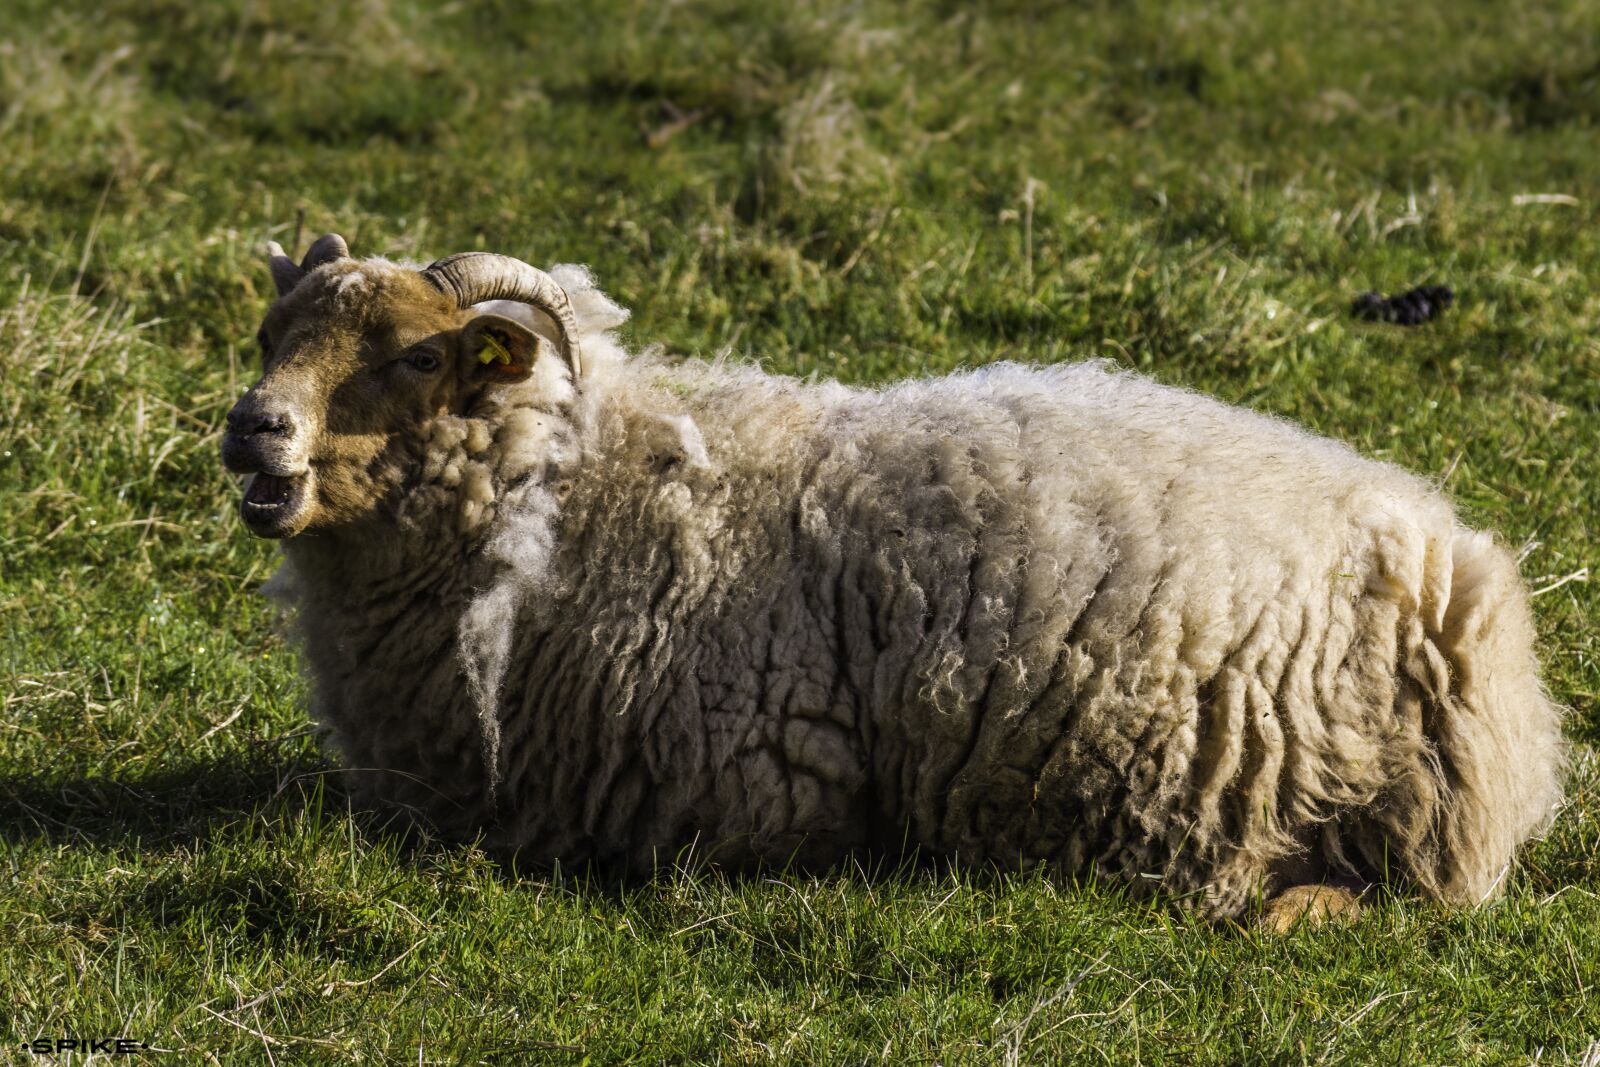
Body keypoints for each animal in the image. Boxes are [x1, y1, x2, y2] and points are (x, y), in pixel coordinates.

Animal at [223, 233, 1565, 925]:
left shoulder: (753, 804)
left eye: (413, 356)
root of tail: (1462, 577)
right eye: (271, 334)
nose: (252, 429)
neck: (572, 501)